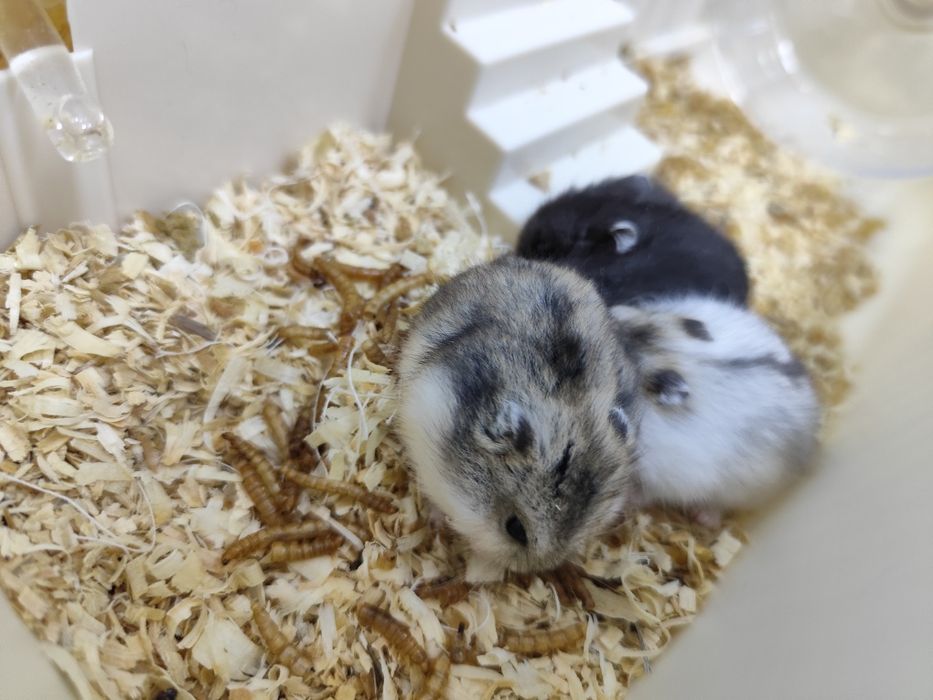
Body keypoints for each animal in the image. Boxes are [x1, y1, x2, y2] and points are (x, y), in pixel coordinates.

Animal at [610, 296, 820, 523]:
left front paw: (628, 500)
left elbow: (646, 492)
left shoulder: (665, 474)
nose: (612, 308)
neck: (666, 352)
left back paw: (703, 516)